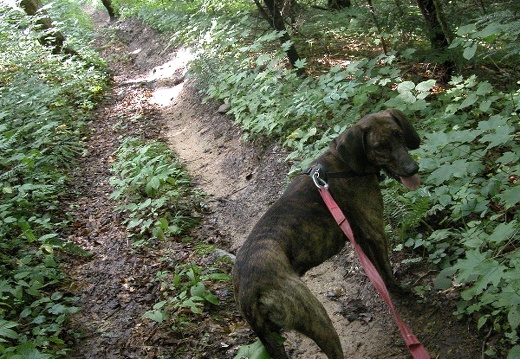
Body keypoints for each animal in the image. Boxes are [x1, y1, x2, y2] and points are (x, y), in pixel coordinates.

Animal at [234, 109, 420, 359]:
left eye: (399, 134)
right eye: (380, 146)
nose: (412, 169)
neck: (344, 165)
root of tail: (248, 290)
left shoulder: (360, 236)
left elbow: (378, 272)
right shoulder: (374, 230)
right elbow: (388, 270)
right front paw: (401, 292)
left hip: (273, 338)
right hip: (318, 319)